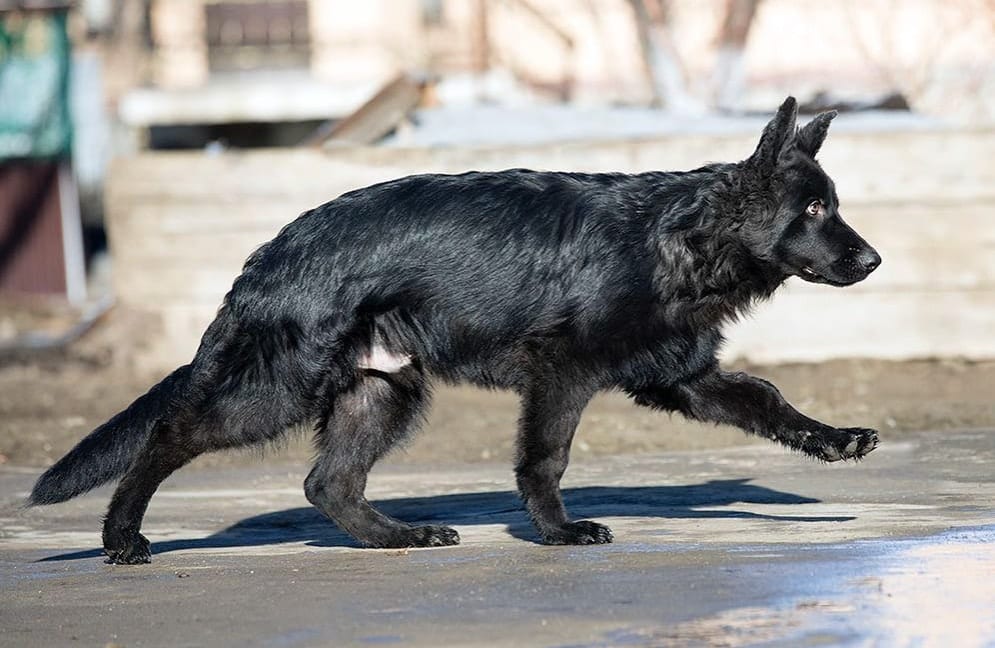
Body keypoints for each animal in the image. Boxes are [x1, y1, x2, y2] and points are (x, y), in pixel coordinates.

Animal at [31, 96, 884, 560]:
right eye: (815, 209)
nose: (873, 259)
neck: (682, 238)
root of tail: (269, 254)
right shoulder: (561, 375)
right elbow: (544, 458)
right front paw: (557, 533)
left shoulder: (681, 378)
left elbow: (768, 399)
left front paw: (835, 440)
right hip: (270, 394)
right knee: (168, 432)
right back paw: (120, 538)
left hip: (382, 394)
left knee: (326, 483)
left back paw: (397, 538)